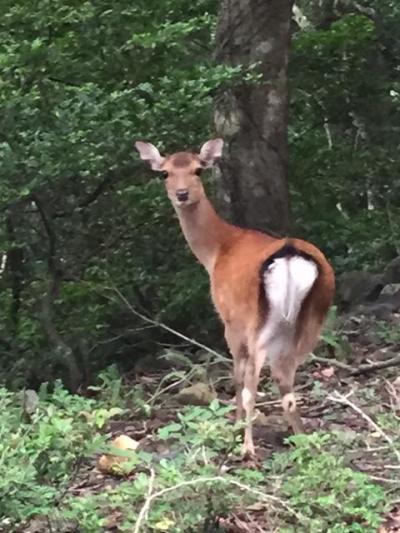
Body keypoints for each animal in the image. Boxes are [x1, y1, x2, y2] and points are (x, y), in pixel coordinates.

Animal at [134, 139, 334, 456]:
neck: (217, 251)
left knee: (253, 381)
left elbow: (237, 376)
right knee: (286, 381)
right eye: (165, 173)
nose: (182, 194)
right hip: (312, 317)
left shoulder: (229, 317)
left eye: (198, 169)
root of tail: (290, 256)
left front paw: (235, 427)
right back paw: (303, 443)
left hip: (259, 320)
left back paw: (248, 447)